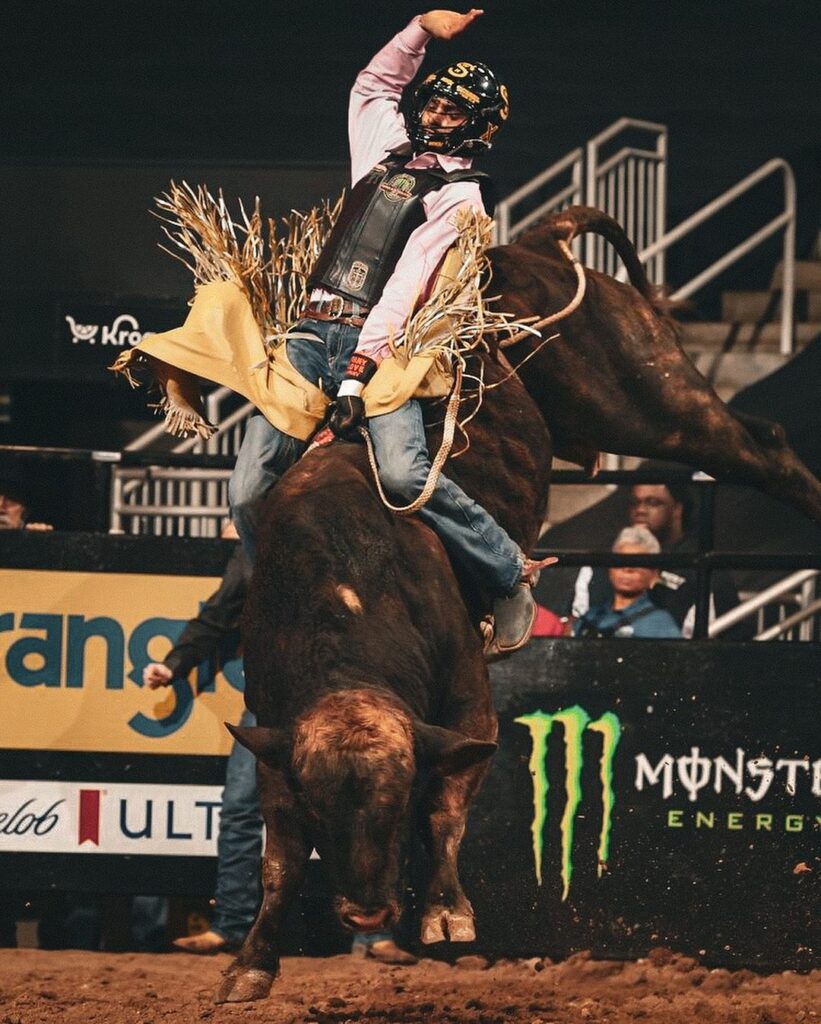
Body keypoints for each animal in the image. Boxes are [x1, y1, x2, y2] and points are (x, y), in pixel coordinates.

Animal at [213, 205, 814, 999]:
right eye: (322, 807)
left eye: (395, 801)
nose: (367, 912)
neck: (347, 590)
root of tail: (532, 245)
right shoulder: (276, 728)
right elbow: (279, 860)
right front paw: (251, 963)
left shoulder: (468, 705)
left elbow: (446, 809)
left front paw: (445, 915)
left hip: (649, 398)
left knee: (759, 442)